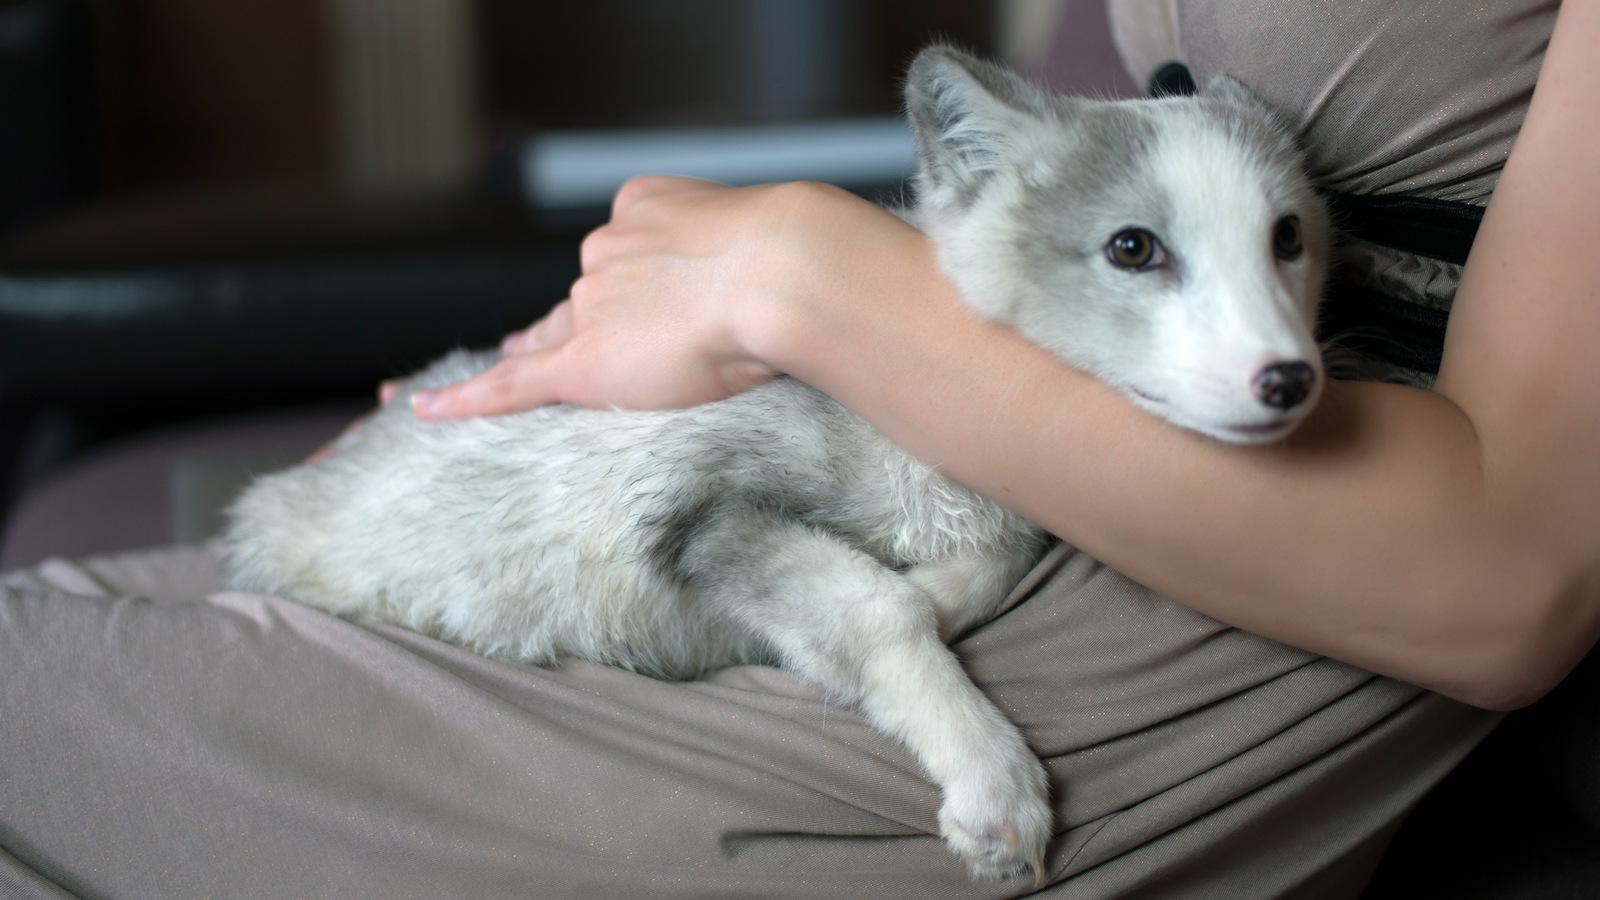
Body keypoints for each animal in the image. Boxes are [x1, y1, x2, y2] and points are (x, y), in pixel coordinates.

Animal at [222, 47, 1324, 877]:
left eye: (1290, 238)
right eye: (1134, 249)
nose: (1293, 381)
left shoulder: (989, 515)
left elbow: (969, 570)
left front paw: (937, 599)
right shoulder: (705, 513)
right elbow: (882, 606)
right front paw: (992, 778)